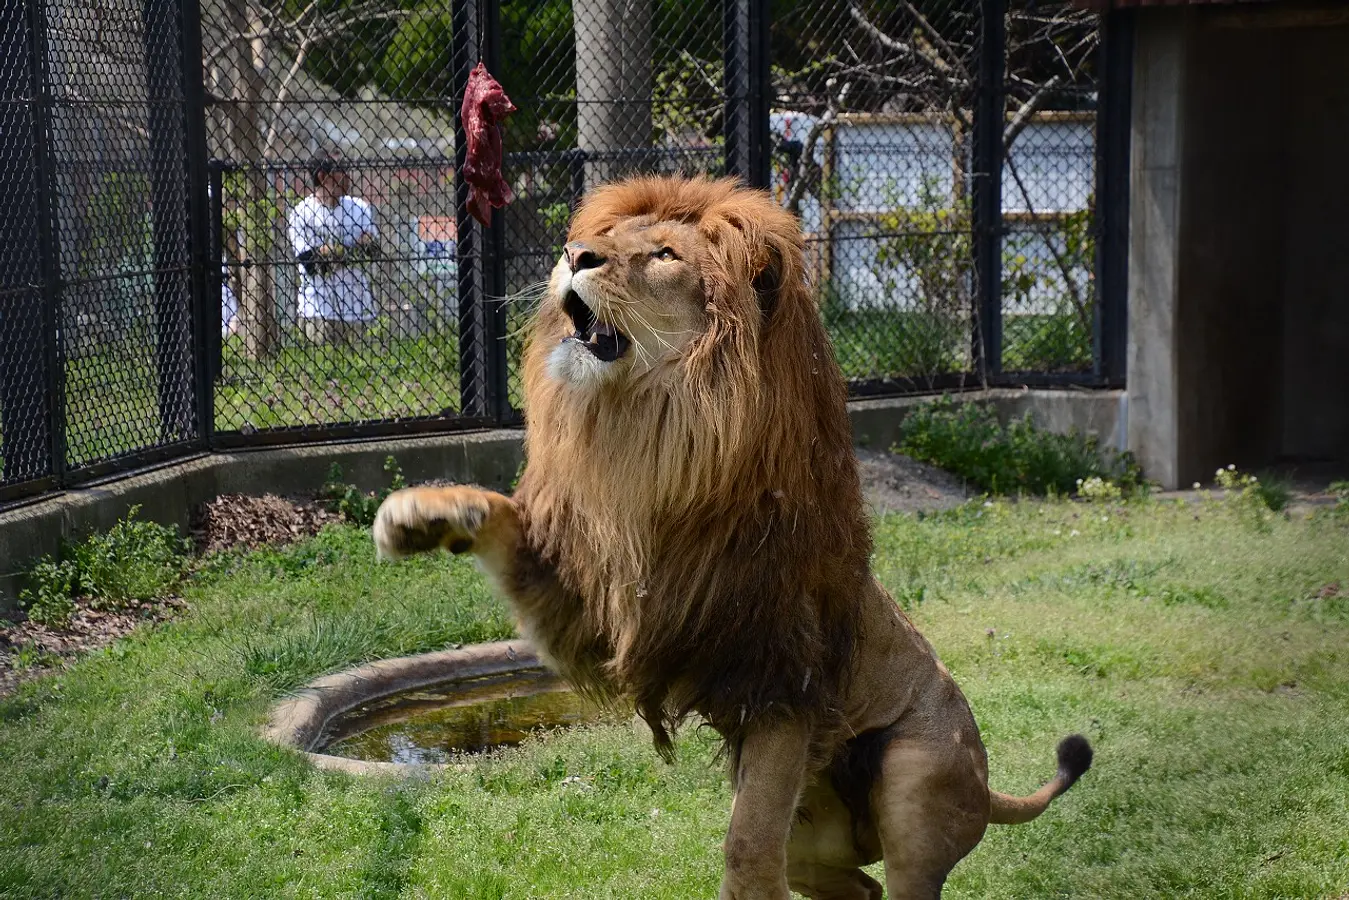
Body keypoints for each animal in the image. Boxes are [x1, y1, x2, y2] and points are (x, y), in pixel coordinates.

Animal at [375, 178, 1089, 900]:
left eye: (663, 254)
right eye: (603, 237)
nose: (574, 253)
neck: (658, 442)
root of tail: (986, 780)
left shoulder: (780, 682)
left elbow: (746, 848)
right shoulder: (606, 616)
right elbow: (501, 518)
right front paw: (423, 513)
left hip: (916, 783)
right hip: (814, 838)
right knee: (855, 885)